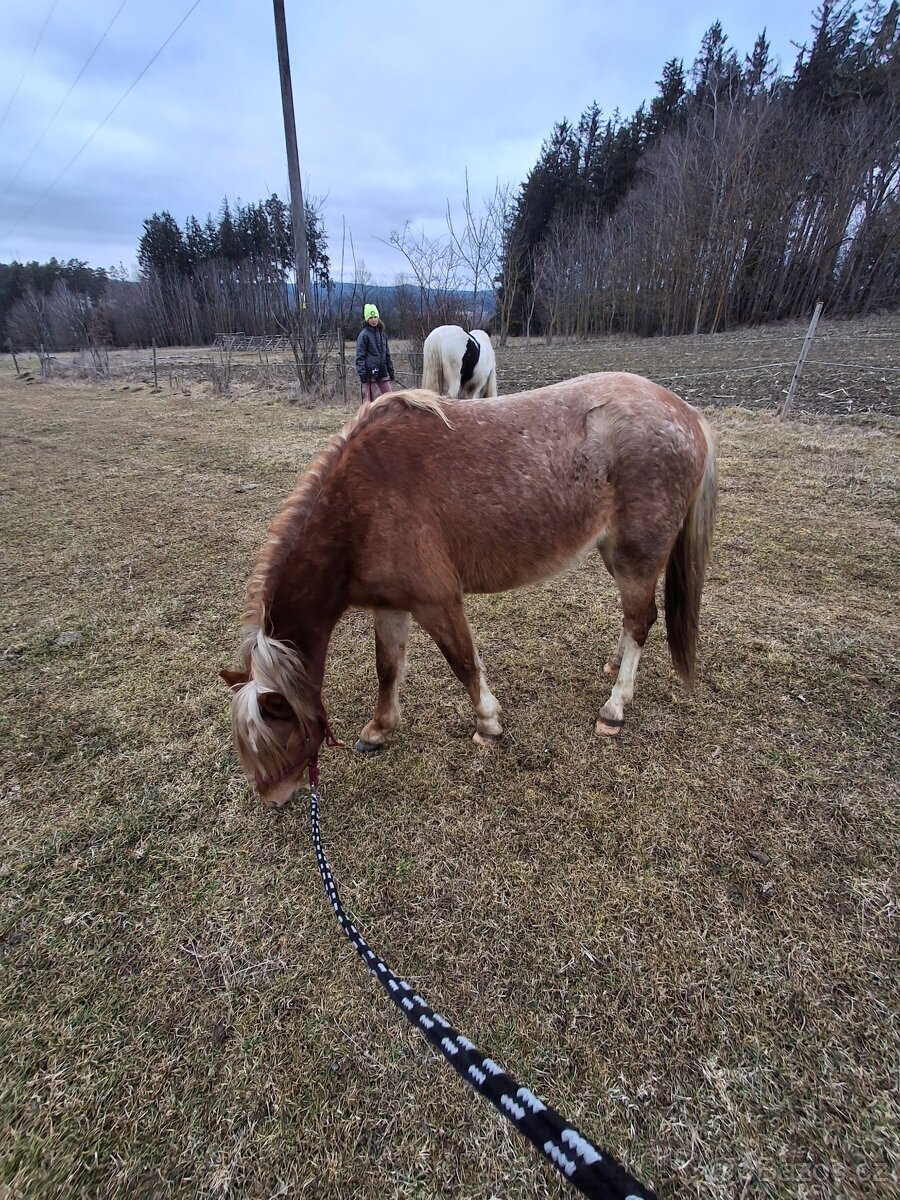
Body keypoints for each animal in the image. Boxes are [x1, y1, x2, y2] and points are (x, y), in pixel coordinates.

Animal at [221, 374, 717, 808]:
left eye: (275, 737)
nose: (274, 800)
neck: (358, 509)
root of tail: (688, 414)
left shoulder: (437, 602)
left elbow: (462, 663)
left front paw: (488, 724)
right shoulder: (391, 605)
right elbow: (388, 667)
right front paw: (379, 730)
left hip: (636, 556)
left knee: (640, 620)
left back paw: (614, 708)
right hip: (615, 553)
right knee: (634, 619)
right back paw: (614, 666)